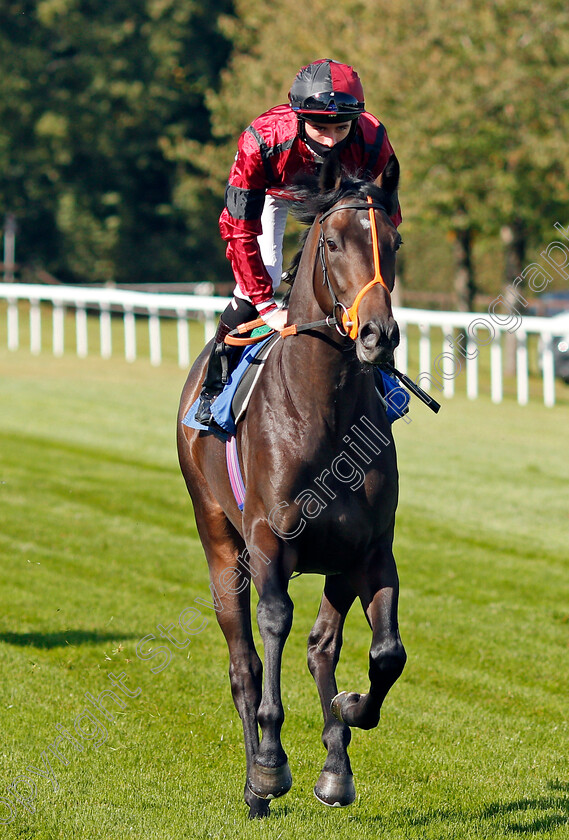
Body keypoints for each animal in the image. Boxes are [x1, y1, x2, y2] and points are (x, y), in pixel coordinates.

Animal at [178, 151, 404, 820]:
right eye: (331, 242)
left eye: (395, 243)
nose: (378, 335)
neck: (323, 408)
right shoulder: (268, 542)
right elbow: (273, 624)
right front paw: (271, 765)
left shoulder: (369, 551)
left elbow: (385, 653)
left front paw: (351, 711)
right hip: (218, 540)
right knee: (244, 662)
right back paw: (256, 780)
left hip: (333, 564)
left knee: (321, 646)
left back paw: (335, 767)